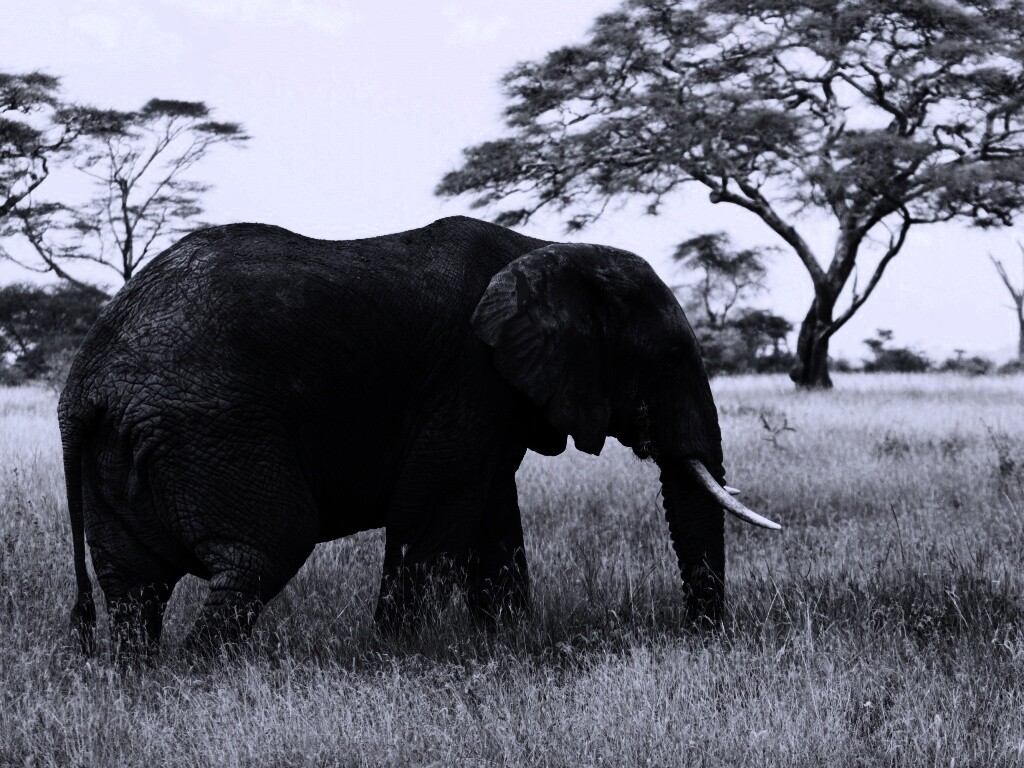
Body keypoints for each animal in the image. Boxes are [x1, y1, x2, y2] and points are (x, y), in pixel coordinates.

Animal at [59, 215, 779, 656]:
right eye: (667, 359)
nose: (701, 638)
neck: (547, 249)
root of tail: (84, 381)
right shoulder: (470, 378)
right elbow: (431, 514)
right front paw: (398, 658)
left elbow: (492, 519)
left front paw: (507, 647)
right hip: (211, 428)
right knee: (263, 550)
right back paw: (201, 678)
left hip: (127, 449)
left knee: (134, 586)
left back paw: (144, 681)